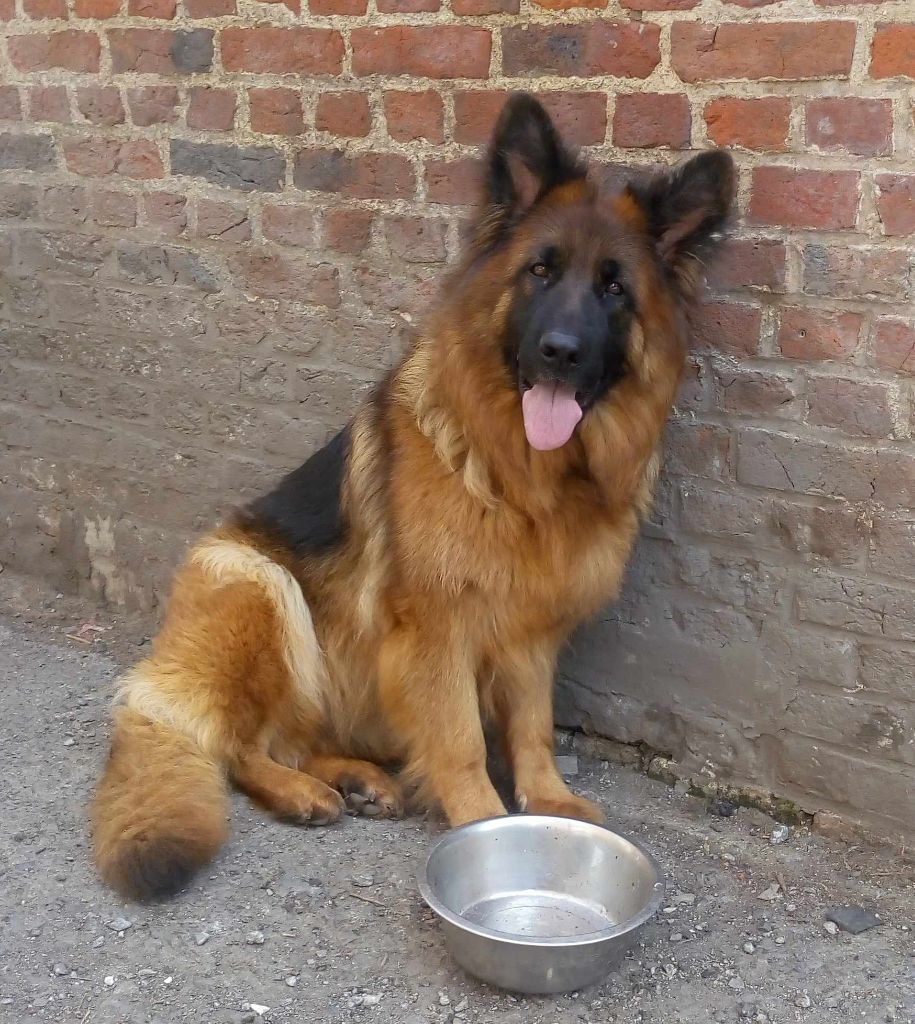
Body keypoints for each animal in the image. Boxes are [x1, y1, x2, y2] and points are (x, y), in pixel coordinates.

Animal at [92, 94, 735, 901]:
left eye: (614, 289)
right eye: (540, 272)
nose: (558, 352)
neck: (521, 476)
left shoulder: (530, 631)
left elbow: (532, 723)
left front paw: (547, 799)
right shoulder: (436, 630)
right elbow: (460, 738)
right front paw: (484, 823)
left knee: (293, 739)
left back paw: (354, 778)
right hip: (261, 586)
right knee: (239, 745)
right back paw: (301, 791)